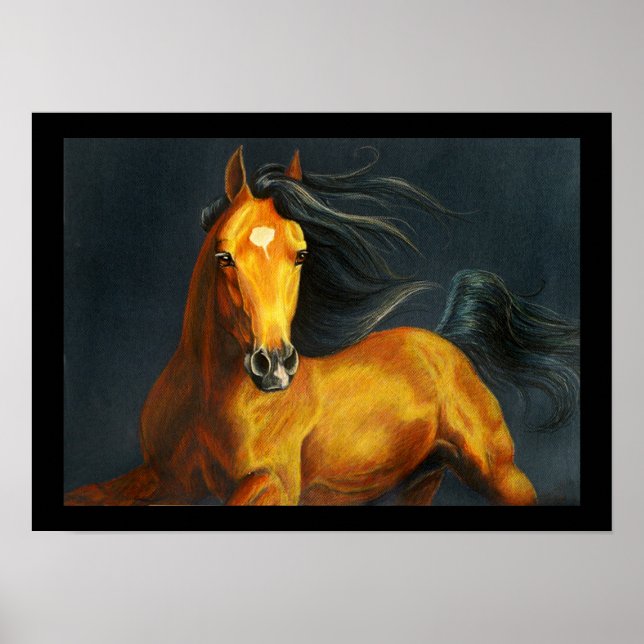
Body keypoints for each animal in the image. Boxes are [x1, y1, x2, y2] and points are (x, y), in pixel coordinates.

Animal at [64, 146, 579, 506]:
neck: (208, 401)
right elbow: (87, 493)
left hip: (499, 473)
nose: (273, 365)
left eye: (301, 253)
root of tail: (443, 342)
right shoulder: (165, 480)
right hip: (420, 478)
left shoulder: (270, 485)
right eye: (224, 256)